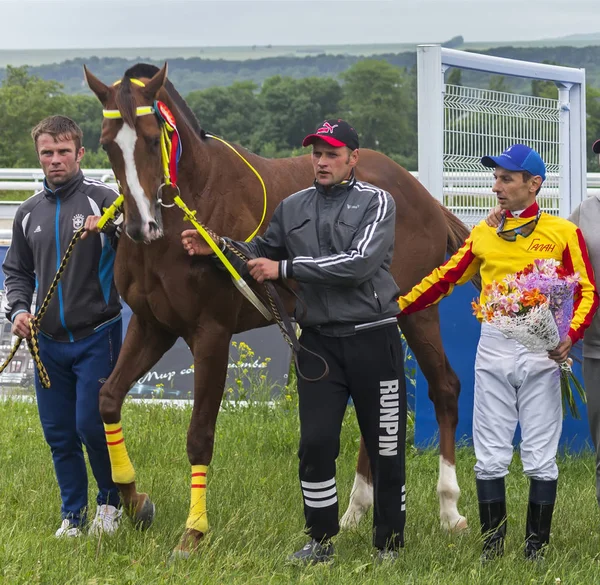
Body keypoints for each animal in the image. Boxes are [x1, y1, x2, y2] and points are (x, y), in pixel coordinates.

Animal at [84, 61, 468, 556]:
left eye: (153, 139)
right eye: (107, 144)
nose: (139, 226)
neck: (190, 209)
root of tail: (421, 196)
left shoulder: (211, 333)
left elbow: (199, 434)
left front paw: (194, 531)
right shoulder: (152, 327)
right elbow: (108, 400)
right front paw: (135, 502)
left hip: (417, 313)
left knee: (444, 388)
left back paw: (450, 510)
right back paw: (356, 512)